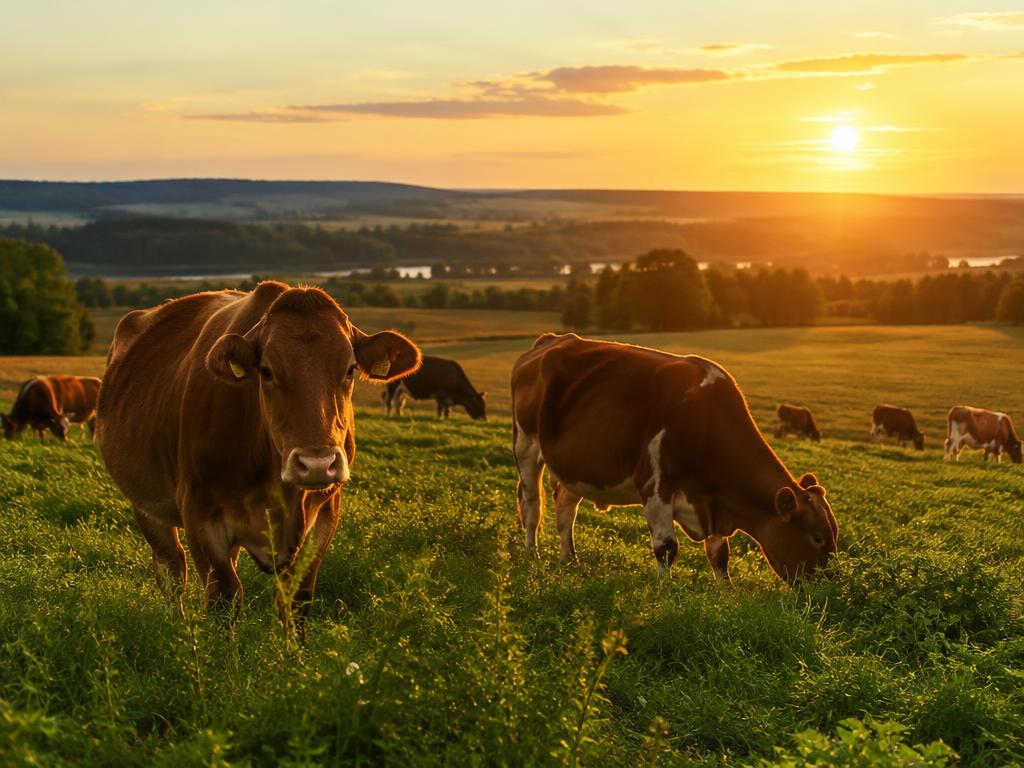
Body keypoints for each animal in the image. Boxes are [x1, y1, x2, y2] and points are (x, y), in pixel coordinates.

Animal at [95, 281, 421, 618]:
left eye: (350, 369)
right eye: (266, 371)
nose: (317, 463)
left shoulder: (325, 511)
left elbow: (296, 600)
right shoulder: (200, 513)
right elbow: (224, 599)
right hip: (144, 501)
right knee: (171, 568)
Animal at [510, 333, 838, 585]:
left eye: (834, 534)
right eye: (817, 537)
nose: (832, 586)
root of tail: (550, 340)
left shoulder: (712, 503)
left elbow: (719, 554)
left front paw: (726, 592)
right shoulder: (656, 485)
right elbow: (666, 547)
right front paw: (664, 589)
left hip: (574, 467)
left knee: (565, 507)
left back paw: (570, 559)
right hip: (526, 444)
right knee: (532, 502)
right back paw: (531, 552)